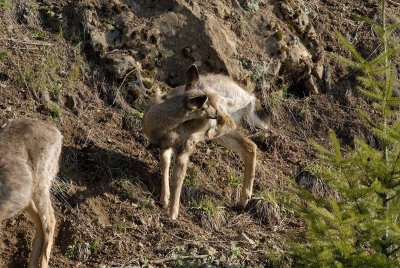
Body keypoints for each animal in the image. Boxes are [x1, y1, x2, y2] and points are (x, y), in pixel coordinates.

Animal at [142, 64, 268, 220]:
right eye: (203, 106)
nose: (214, 113)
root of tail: (249, 97)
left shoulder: (183, 149)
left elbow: (178, 177)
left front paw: (173, 214)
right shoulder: (164, 145)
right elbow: (164, 165)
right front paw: (164, 199)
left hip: (220, 102)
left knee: (229, 123)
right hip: (224, 129)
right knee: (249, 146)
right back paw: (243, 200)